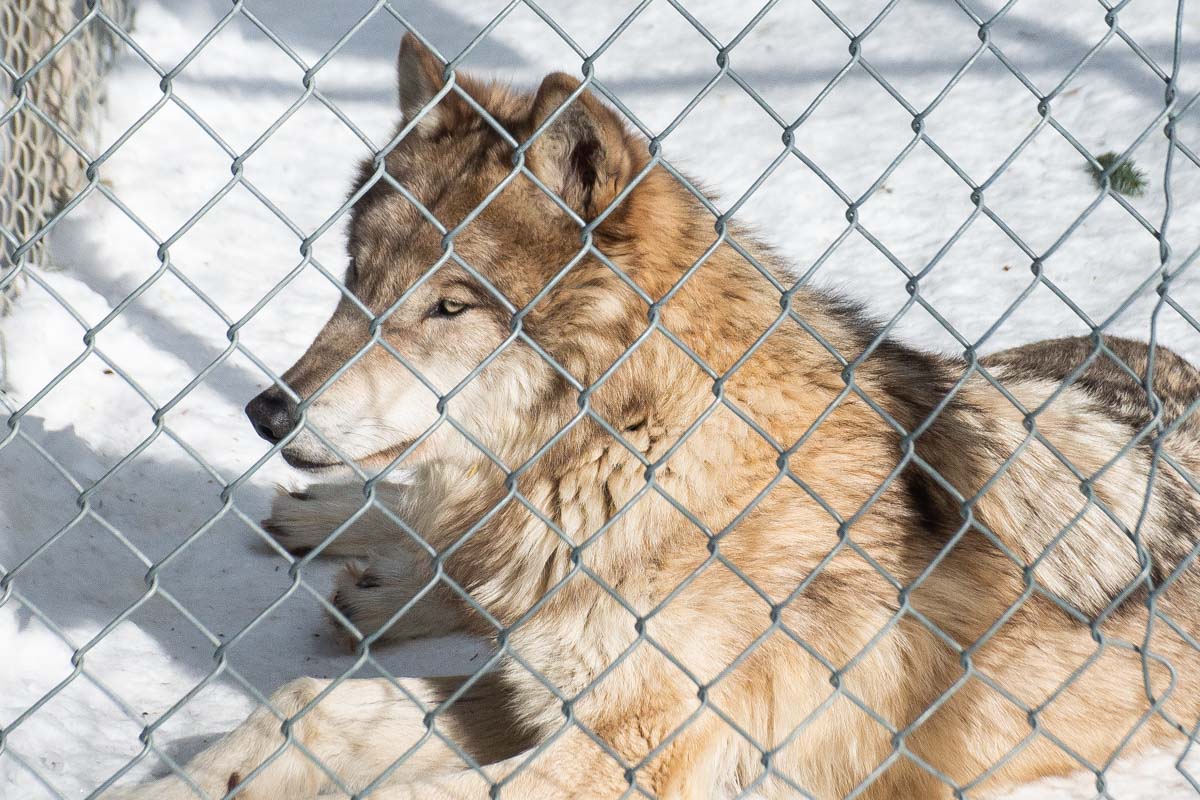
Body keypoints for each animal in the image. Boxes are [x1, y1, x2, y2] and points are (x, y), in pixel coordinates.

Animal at [111, 33, 1200, 800]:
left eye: (451, 306)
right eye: (355, 279)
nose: (266, 408)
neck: (635, 453)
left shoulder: (626, 748)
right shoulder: (537, 691)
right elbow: (306, 705)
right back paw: (337, 544)